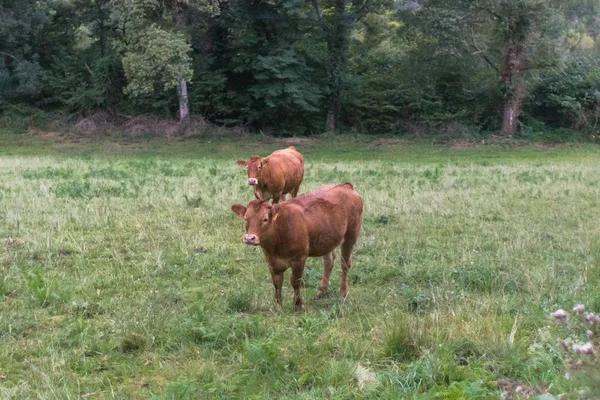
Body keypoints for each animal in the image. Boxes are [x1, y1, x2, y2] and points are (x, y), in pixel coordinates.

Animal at [230, 183, 360, 310]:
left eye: (265, 219)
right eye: (246, 218)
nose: (249, 238)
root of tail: (344, 186)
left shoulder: (299, 259)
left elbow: (295, 282)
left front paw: (297, 305)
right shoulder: (271, 263)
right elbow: (277, 283)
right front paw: (279, 306)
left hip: (350, 236)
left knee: (345, 264)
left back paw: (343, 292)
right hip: (327, 240)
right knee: (328, 262)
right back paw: (321, 291)